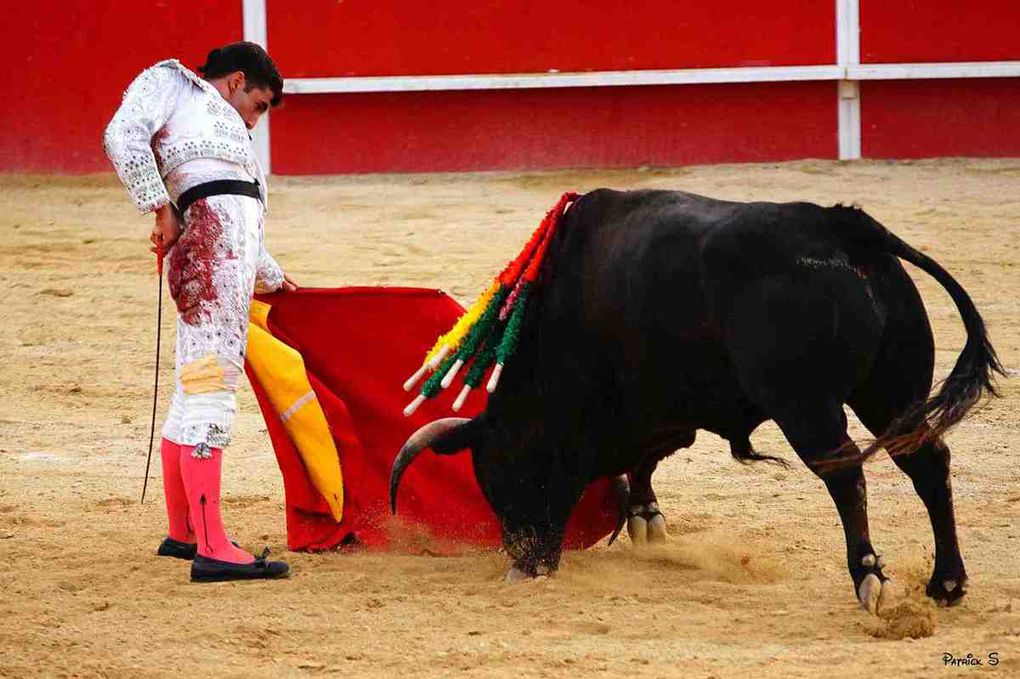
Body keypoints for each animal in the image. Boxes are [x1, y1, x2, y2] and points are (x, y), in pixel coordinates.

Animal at [389, 187, 1003, 611]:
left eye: (511, 473)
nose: (525, 566)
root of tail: (840, 223)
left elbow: (645, 453)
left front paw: (642, 517)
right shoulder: (665, 406)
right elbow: (648, 456)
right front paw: (646, 517)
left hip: (806, 405)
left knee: (846, 472)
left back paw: (869, 578)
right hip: (891, 392)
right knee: (927, 462)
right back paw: (947, 582)